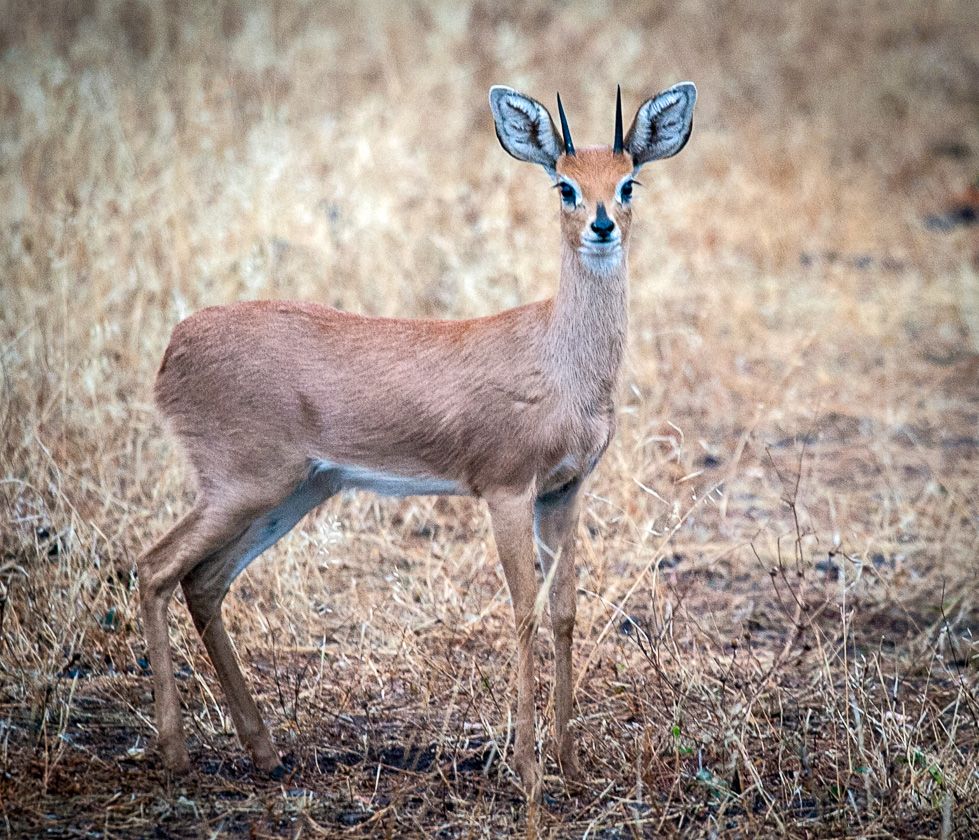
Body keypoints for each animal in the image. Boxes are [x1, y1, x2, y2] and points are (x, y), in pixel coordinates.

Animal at [138, 82, 697, 791]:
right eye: (565, 186)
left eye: (628, 182)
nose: (602, 226)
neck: (559, 356)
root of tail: (175, 345)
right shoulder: (507, 490)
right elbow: (524, 611)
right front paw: (528, 768)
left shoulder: (564, 491)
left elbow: (565, 612)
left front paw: (571, 765)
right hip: (243, 487)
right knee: (154, 569)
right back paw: (175, 753)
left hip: (295, 492)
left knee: (204, 582)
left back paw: (265, 752)